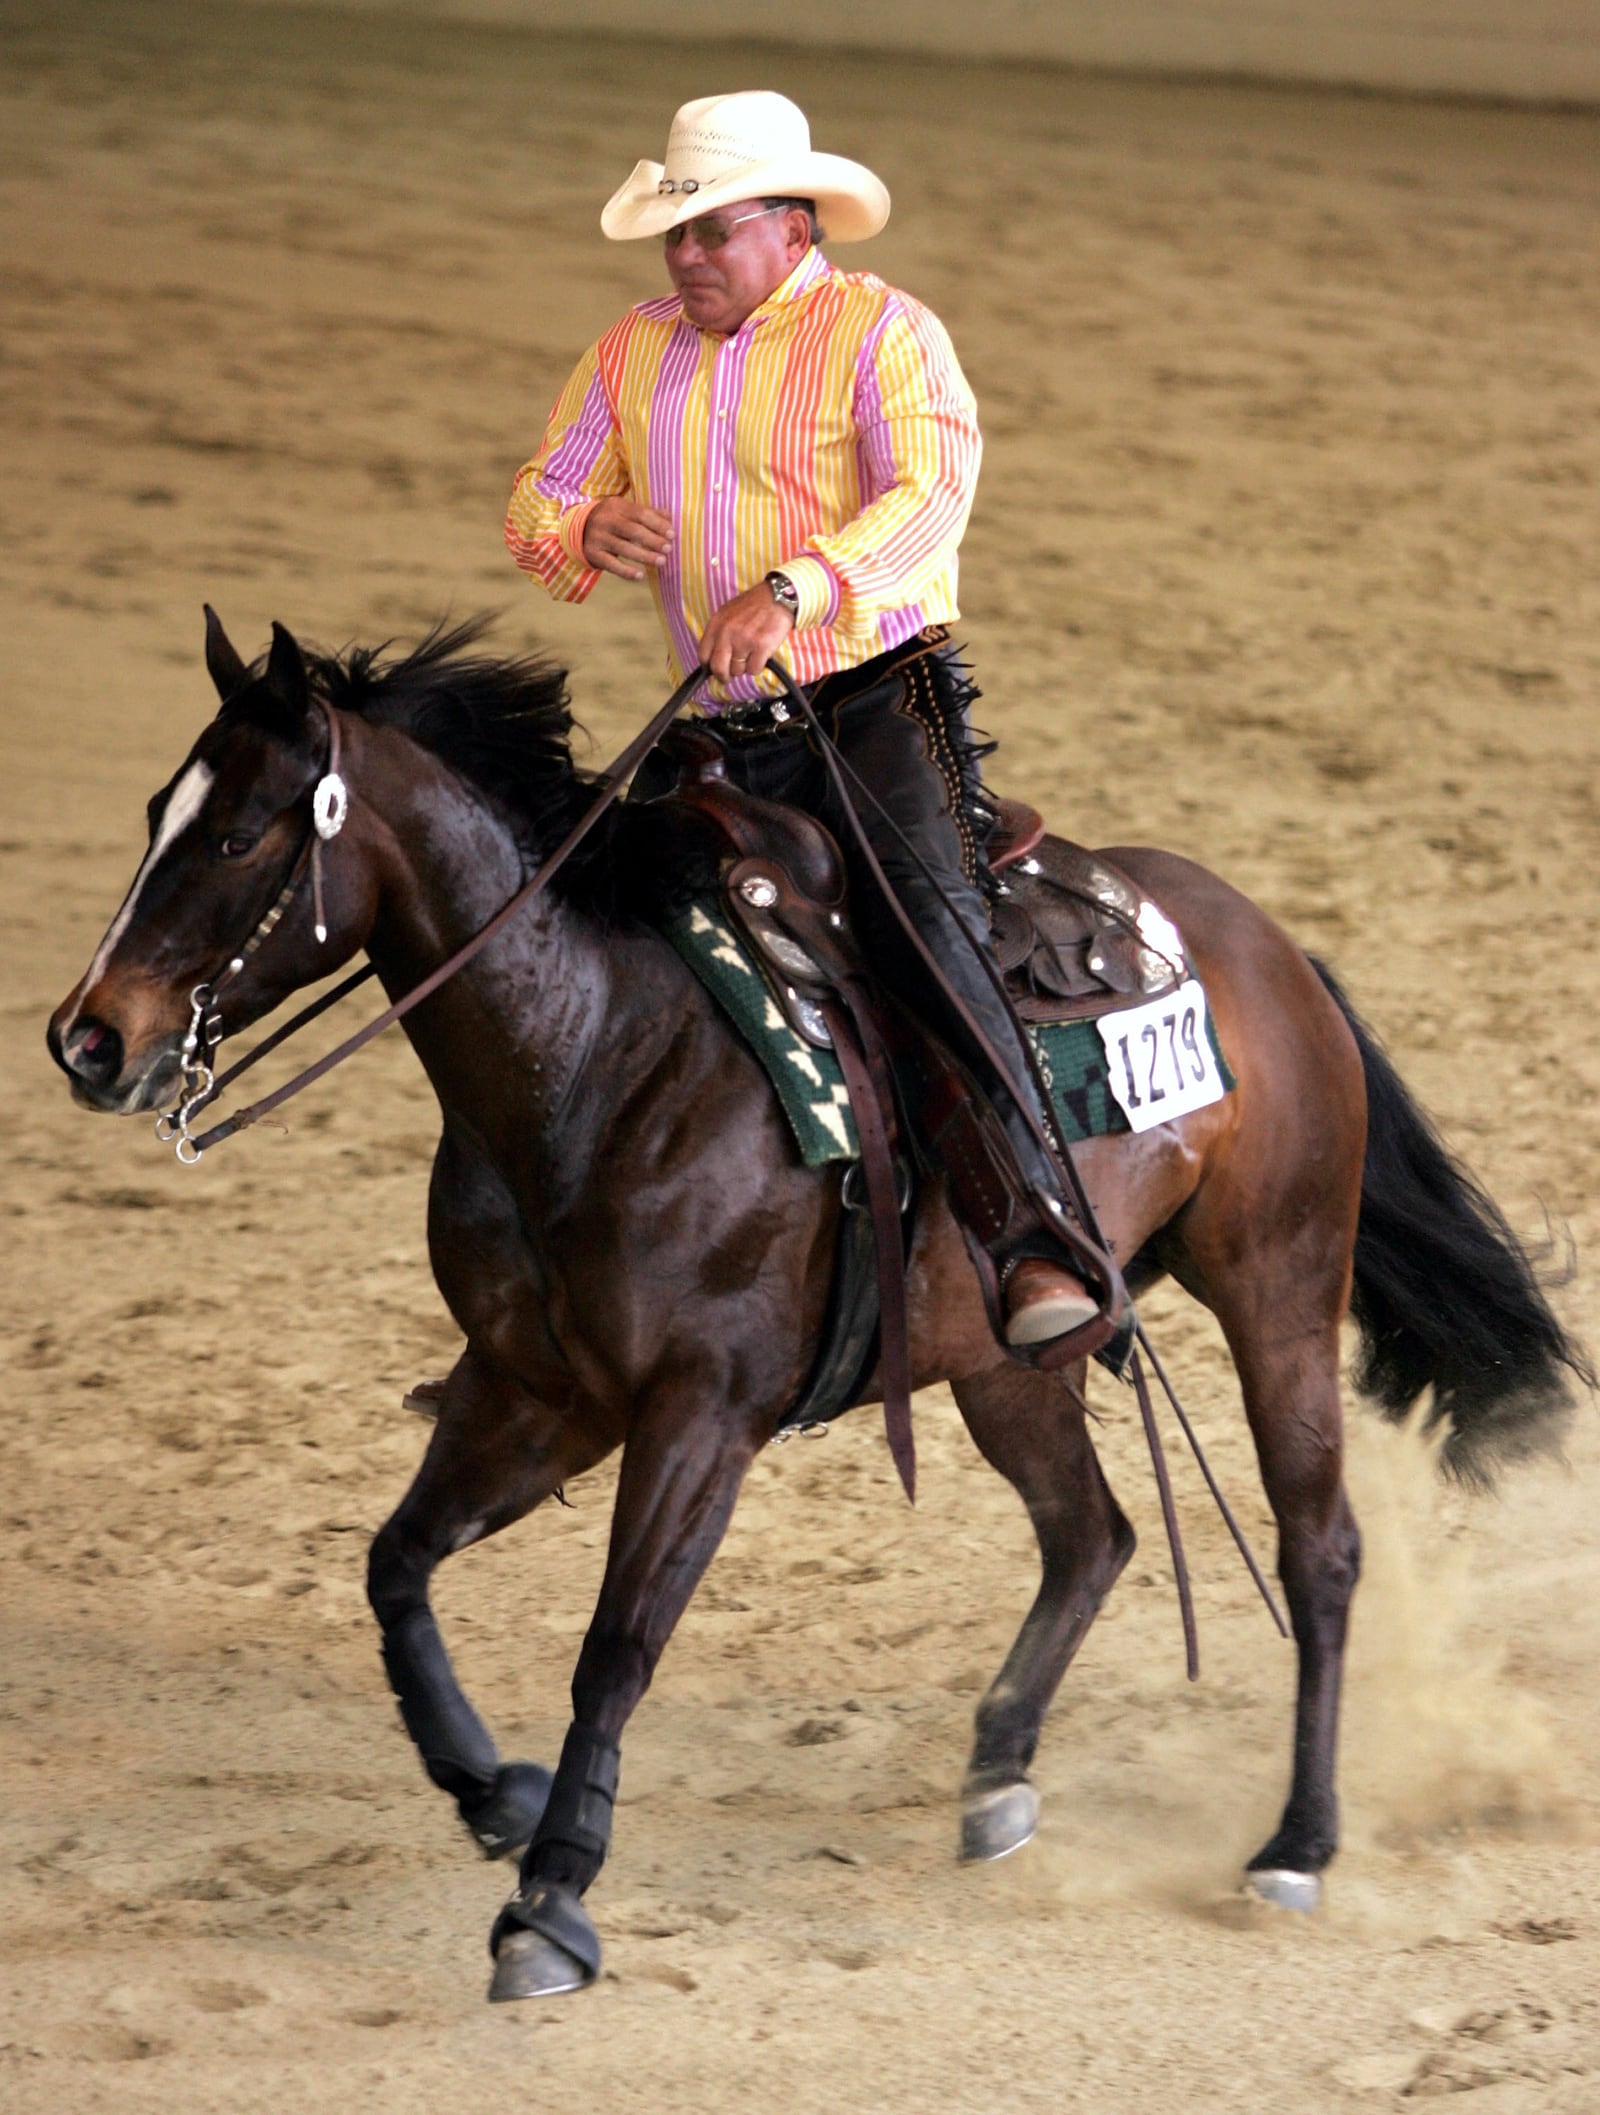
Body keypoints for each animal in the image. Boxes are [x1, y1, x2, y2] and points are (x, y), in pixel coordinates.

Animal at [43, 617, 1580, 1996]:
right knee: (1091, 1531)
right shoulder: (534, 1391)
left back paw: (1295, 1844)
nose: (85, 1040)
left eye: (239, 836)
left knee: (1318, 1551)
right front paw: (495, 1793)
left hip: (1278, 1285)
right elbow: (395, 1566)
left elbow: (615, 1647)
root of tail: (1270, 949)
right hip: (1004, 1355)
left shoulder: (699, 1412)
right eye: (157, 812)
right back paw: (995, 1779)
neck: (595, 1047)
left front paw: (550, 1899)